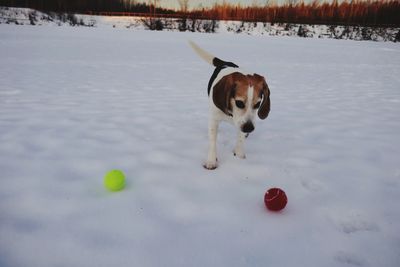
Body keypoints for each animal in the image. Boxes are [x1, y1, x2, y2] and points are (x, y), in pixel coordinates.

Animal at [189, 40, 270, 171]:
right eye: (239, 103)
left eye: (258, 104)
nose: (249, 128)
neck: (231, 114)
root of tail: (225, 63)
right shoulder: (214, 119)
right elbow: (213, 140)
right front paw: (211, 161)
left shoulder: (243, 124)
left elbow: (240, 139)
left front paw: (239, 157)